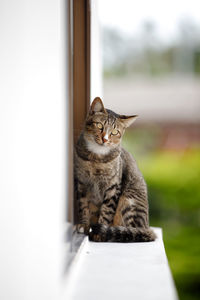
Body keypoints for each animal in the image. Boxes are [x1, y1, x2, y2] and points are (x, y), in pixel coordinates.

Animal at [74, 97, 155, 243]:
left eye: (114, 132)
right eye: (99, 125)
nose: (105, 139)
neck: (96, 159)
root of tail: (147, 227)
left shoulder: (113, 186)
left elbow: (107, 211)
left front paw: (99, 233)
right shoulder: (81, 182)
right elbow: (83, 206)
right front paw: (84, 225)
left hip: (128, 200)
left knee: (133, 231)